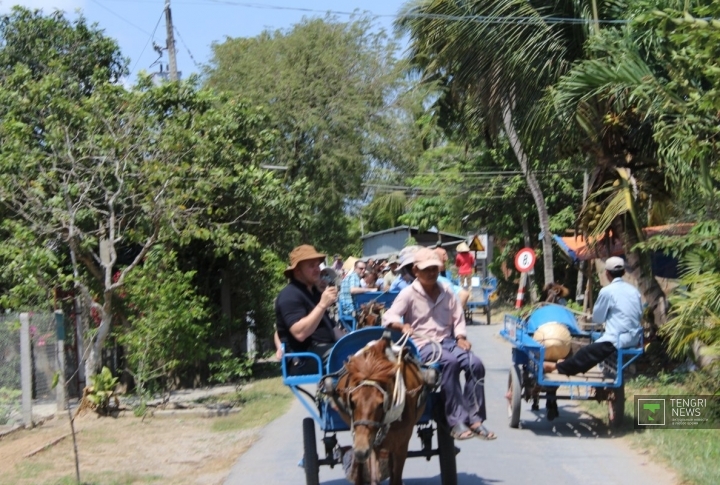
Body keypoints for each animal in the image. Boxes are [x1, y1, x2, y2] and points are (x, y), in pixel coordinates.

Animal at [334, 336, 428, 484]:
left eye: (380, 404)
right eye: (353, 402)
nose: (361, 451)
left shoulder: (401, 445)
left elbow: (396, 477)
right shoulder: (368, 442)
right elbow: (371, 477)